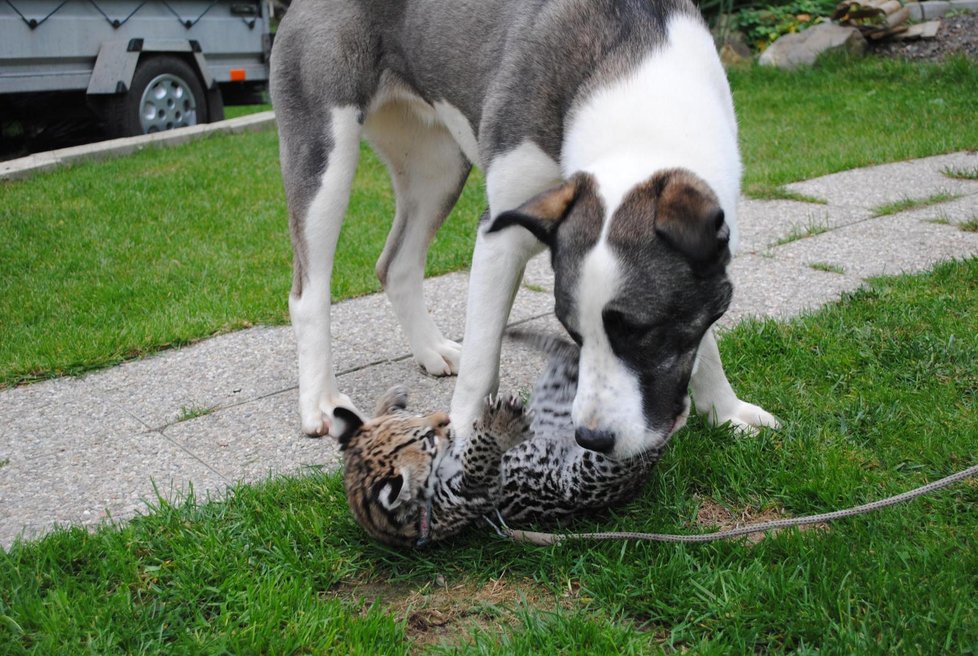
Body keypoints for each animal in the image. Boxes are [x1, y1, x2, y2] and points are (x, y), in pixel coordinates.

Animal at [268, 0, 776, 462]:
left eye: (643, 332)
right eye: (572, 332)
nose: (592, 439)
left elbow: (705, 337)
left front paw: (726, 410)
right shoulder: (502, 232)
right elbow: (481, 355)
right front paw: (464, 435)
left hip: (438, 166)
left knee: (396, 264)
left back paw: (431, 349)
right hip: (325, 151)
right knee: (309, 289)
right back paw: (320, 400)